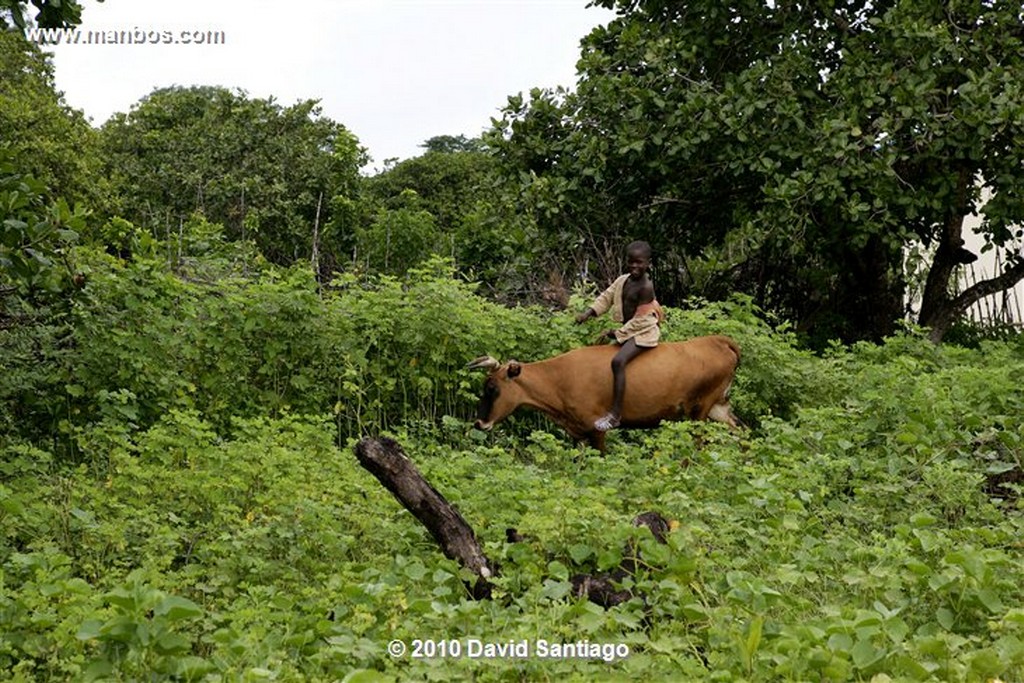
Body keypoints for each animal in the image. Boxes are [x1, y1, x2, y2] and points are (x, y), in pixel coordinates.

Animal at [468, 335, 741, 454]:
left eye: (492, 389)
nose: (479, 422)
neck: (560, 379)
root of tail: (717, 340)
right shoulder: (577, 433)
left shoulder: (596, 429)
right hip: (719, 406)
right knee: (742, 432)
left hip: (700, 409)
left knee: (699, 443)